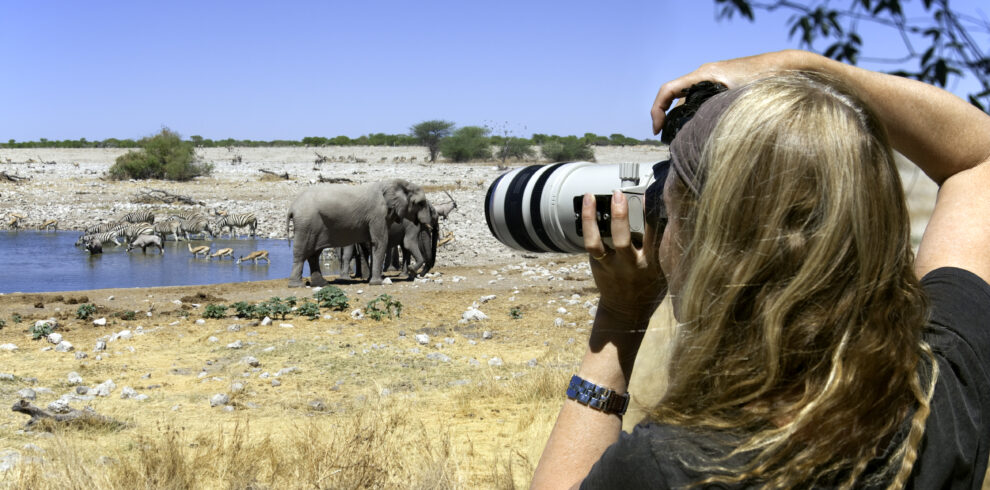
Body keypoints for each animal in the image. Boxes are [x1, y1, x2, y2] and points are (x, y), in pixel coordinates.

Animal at [282, 180, 430, 288]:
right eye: (421, 203)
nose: (412, 269)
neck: (393, 183)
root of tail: (292, 208)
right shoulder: (378, 215)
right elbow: (380, 242)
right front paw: (377, 283)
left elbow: (373, 244)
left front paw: (371, 280)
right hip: (306, 223)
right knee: (302, 253)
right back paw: (297, 285)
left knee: (314, 254)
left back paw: (321, 284)